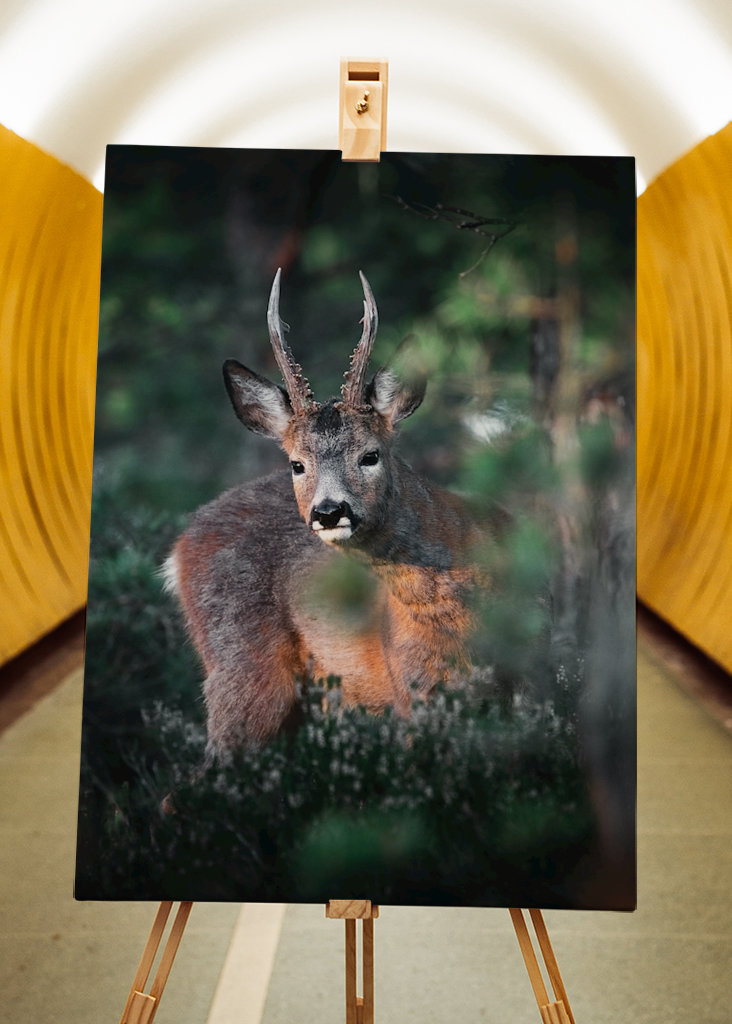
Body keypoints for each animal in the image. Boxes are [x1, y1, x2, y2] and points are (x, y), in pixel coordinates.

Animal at [165, 270, 494, 756]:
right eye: (297, 464)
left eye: (371, 455)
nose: (328, 511)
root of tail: (181, 545)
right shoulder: (411, 691)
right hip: (243, 667)